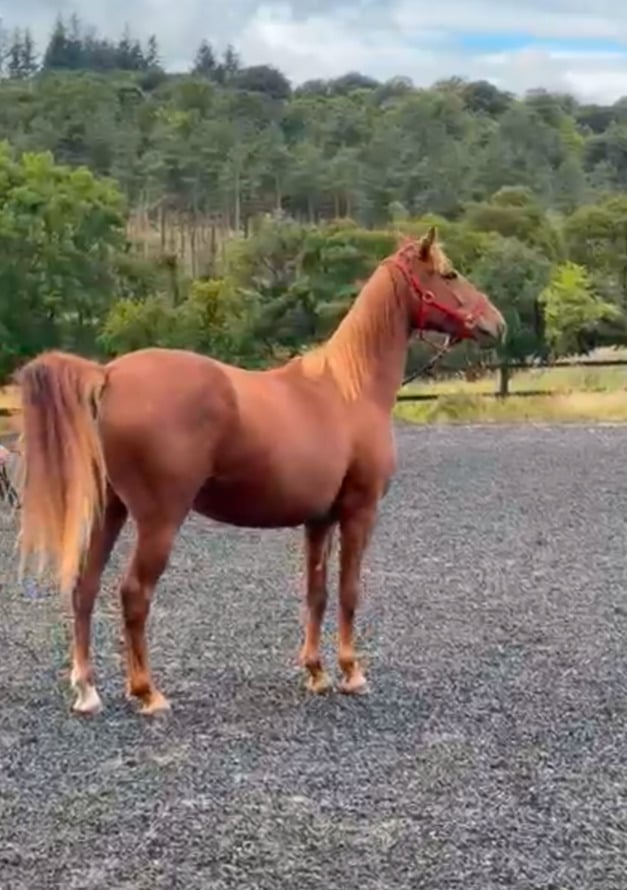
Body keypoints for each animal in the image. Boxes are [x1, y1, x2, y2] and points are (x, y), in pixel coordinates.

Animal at [15, 227, 506, 717]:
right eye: (449, 273)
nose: (496, 324)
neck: (349, 390)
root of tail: (109, 373)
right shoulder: (359, 512)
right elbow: (349, 591)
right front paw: (352, 672)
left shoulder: (319, 519)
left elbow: (316, 592)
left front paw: (316, 672)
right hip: (159, 520)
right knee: (134, 593)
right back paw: (148, 692)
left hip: (110, 510)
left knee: (85, 586)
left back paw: (86, 689)